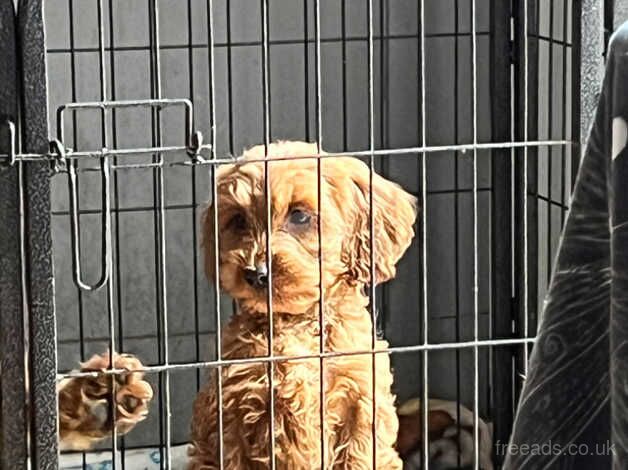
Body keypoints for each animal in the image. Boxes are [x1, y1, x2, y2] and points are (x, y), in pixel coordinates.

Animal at [189, 142, 420, 470]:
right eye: (238, 220)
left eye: (299, 216)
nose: (255, 273)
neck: (297, 321)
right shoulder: (234, 411)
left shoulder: (361, 402)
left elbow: (360, 455)